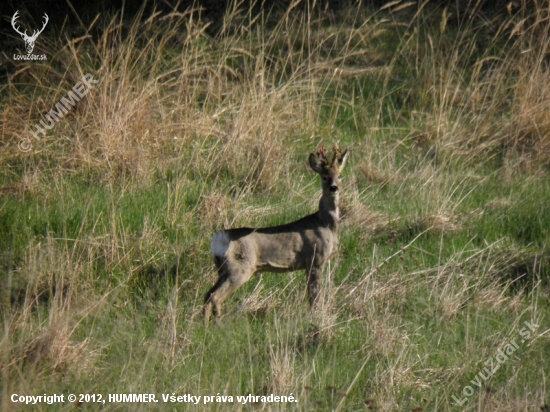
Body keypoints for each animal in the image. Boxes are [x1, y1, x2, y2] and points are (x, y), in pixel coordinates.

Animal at [205, 145, 352, 322]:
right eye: (324, 177)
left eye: (339, 176)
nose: (333, 188)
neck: (325, 224)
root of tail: (220, 237)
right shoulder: (315, 259)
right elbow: (315, 296)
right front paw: (315, 317)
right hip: (239, 267)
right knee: (215, 296)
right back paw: (217, 323)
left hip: (222, 268)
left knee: (208, 294)